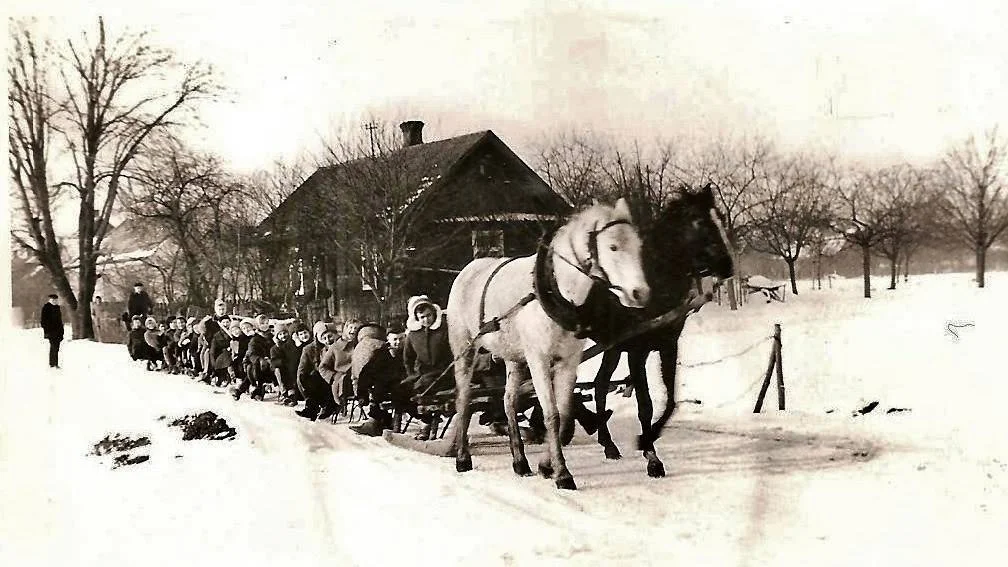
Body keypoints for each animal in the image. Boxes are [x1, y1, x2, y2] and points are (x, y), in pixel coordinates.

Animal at [445, 197, 649, 486]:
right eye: (613, 246)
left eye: (638, 245)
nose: (640, 293)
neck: (556, 292)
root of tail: (467, 270)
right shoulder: (539, 360)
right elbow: (550, 413)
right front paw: (562, 474)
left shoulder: (568, 361)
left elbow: (562, 412)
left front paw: (545, 465)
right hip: (466, 348)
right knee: (463, 400)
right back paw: (463, 457)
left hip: (513, 357)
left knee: (509, 401)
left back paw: (520, 461)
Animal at [576, 184, 733, 476]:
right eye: (698, 221)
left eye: (719, 217)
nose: (728, 266)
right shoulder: (636, 352)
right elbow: (645, 405)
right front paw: (651, 456)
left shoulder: (667, 345)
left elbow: (670, 399)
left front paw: (648, 438)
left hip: (612, 347)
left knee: (600, 384)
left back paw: (607, 443)